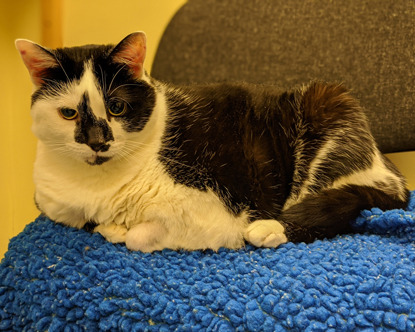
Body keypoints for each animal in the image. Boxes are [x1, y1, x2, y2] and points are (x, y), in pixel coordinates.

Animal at [15, 33, 410, 252]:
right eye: (69, 114)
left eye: (116, 107)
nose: (98, 142)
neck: (97, 186)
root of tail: (394, 175)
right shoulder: (54, 206)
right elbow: (97, 224)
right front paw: (110, 226)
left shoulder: (212, 207)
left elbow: (139, 237)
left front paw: (130, 232)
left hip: (328, 103)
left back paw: (270, 229)